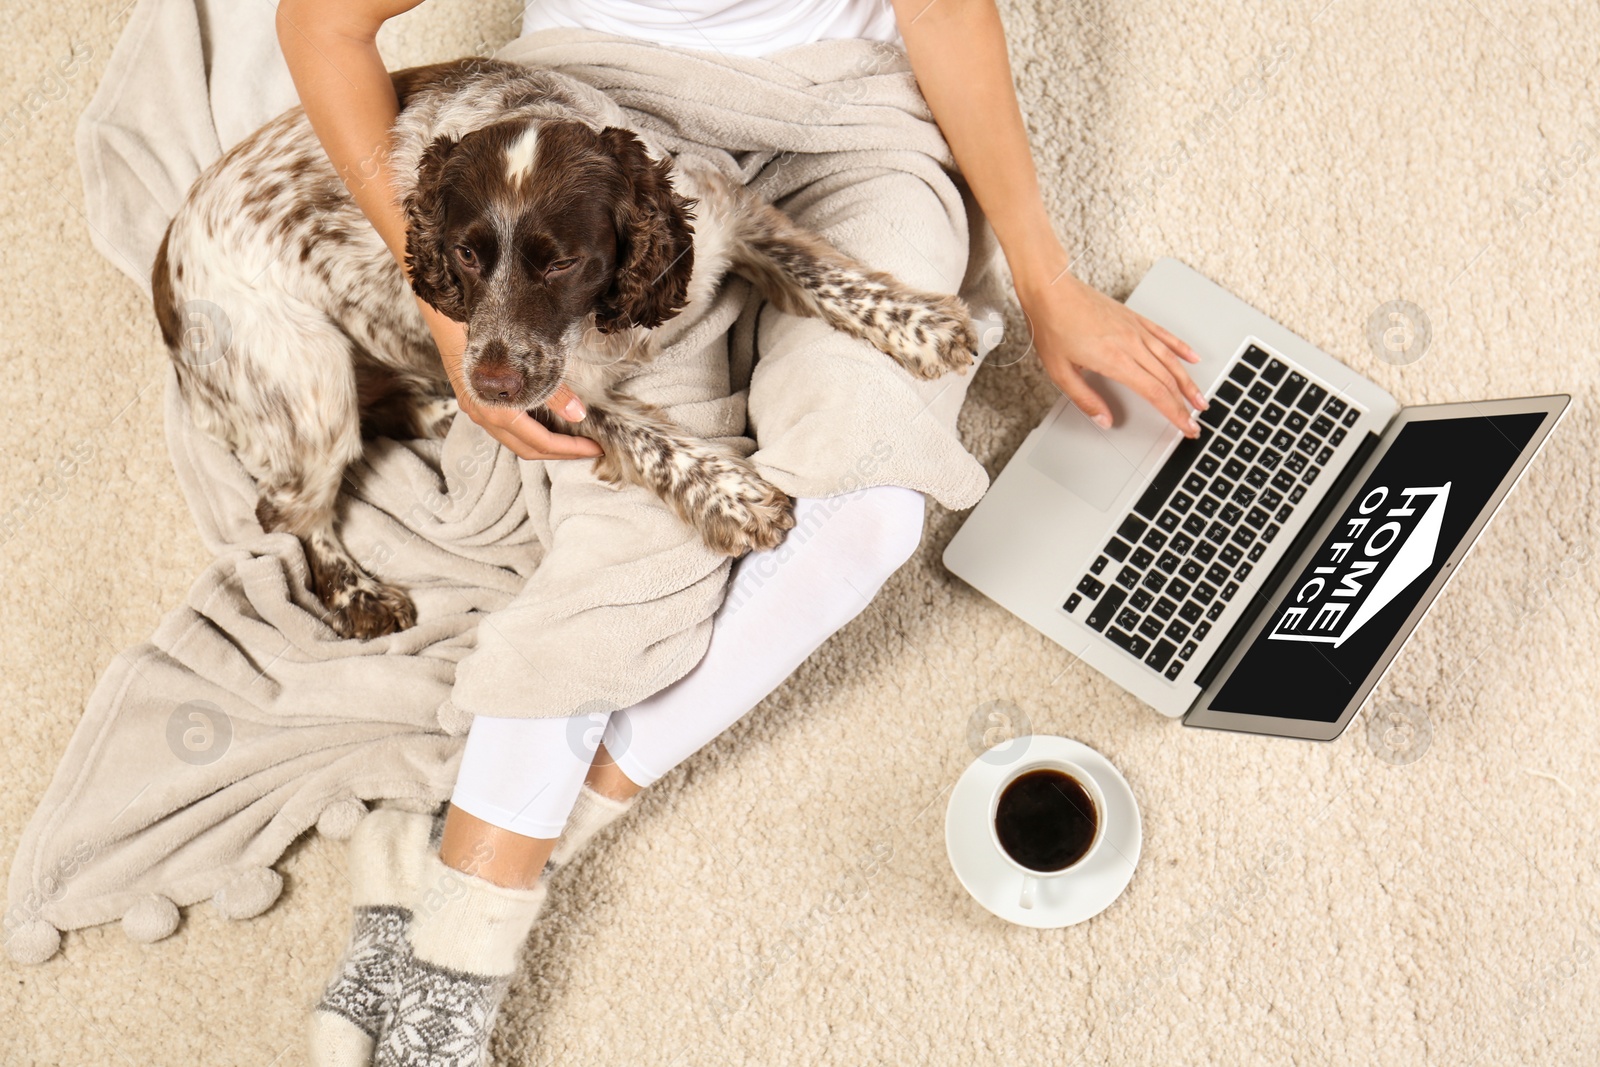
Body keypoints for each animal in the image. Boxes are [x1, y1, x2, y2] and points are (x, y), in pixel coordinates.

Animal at [152, 58, 972, 639]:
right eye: (465, 255)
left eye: (562, 262)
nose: (487, 386)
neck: (607, 322)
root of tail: (166, 258)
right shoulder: (553, 394)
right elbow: (648, 438)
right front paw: (734, 497)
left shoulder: (728, 223)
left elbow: (826, 276)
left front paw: (921, 326)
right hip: (304, 381)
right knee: (286, 509)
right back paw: (360, 592)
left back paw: (437, 414)